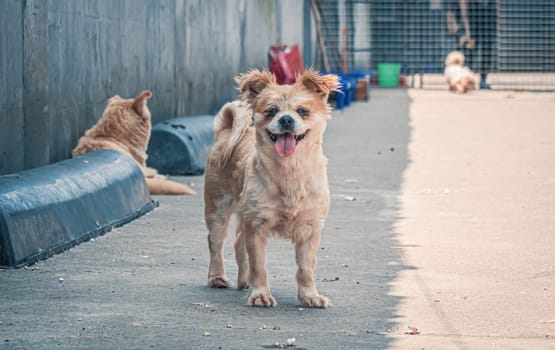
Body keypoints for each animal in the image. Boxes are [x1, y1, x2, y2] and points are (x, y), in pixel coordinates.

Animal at [205, 69, 338, 308]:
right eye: (271, 111)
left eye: (302, 111)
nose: (286, 119)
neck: (290, 170)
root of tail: (225, 131)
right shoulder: (257, 226)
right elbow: (259, 265)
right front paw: (260, 295)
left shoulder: (310, 229)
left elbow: (306, 267)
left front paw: (309, 296)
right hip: (218, 210)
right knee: (216, 244)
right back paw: (217, 277)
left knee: (239, 244)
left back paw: (244, 281)